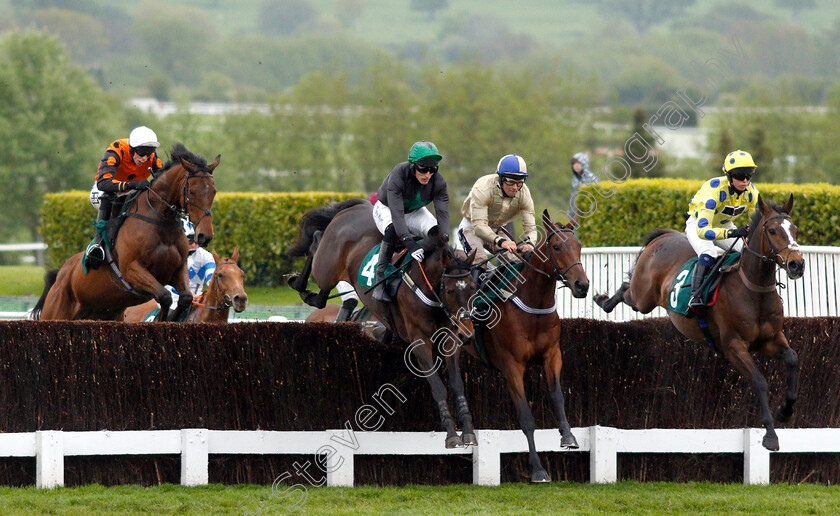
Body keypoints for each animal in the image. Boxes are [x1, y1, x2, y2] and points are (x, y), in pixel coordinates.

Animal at [32, 145, 220, 320]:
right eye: (192, 191)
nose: (205, 235)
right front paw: (160, 319)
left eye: (214, 191)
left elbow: (186, 298)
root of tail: (61, 274)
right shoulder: (132, 269)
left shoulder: (178, 269)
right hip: (55, 312)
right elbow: (165, 296)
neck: (160, 224)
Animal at [286, 200, 480, 450]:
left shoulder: (449, 339)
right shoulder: (419, 341)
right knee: (316, 244)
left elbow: (456, 384)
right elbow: (438, 386)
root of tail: (354, 208)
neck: (425, 288)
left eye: (473, 287)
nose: (467, 334)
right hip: (326, 267)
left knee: (321, 298)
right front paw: (451, 434)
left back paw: (310, 294)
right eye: (449, 290)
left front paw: (468, 431)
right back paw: (297, 281)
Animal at [466, 210, 592, 484]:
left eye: (579, 246)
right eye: (556, 247)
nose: (582, 285)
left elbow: (557, 395)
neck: (532, 305)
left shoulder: (553, 354)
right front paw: (538, 469)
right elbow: (525, 417)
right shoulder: (511, 367)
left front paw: (568, 436)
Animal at [592, 196, 804, 454]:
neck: (753, 291)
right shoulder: (733, 346)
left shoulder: (770, 339)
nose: (797, 265)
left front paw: (786, 411)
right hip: (643, 298)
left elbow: (792, 358)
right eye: (772, 231)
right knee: (626, 289)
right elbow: (760, 382)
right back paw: (603, 300)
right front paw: (770, 436)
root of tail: (664, 236)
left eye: (794, 229)